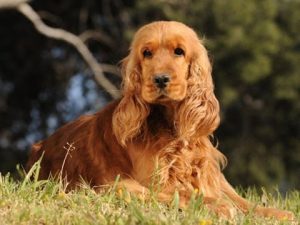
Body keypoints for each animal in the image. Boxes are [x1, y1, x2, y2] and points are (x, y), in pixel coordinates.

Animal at [27, 21, 294, 220]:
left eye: (179, 51)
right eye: (147, 53)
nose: (161, 79)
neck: (172, 128)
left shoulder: (211, 176)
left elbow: (244, 202)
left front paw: (277, 213)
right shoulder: (146, 183)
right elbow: (190, 195)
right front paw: (217, 206)